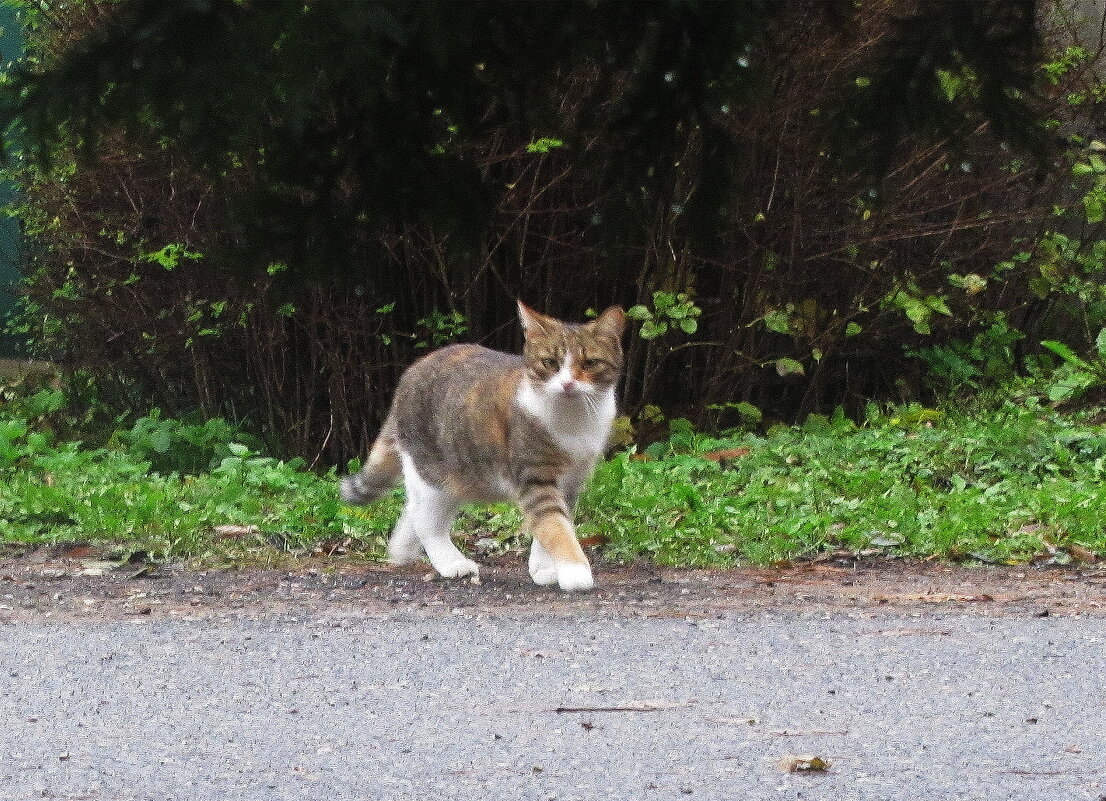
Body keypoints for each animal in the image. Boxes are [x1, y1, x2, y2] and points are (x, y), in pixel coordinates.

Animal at [340, 300, 628, 588]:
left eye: (589, 363)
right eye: (550, 363)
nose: (567, 384)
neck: (573, 419)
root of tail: (410, 373)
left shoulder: (571, 481)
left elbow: (554, 523)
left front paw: (544, 568)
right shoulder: (535, 477)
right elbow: (554, 525)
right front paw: (575, 571)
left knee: (414, 508)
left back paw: (402, 550)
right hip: (432, 472)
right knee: (427, 522)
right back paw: (451, 563)